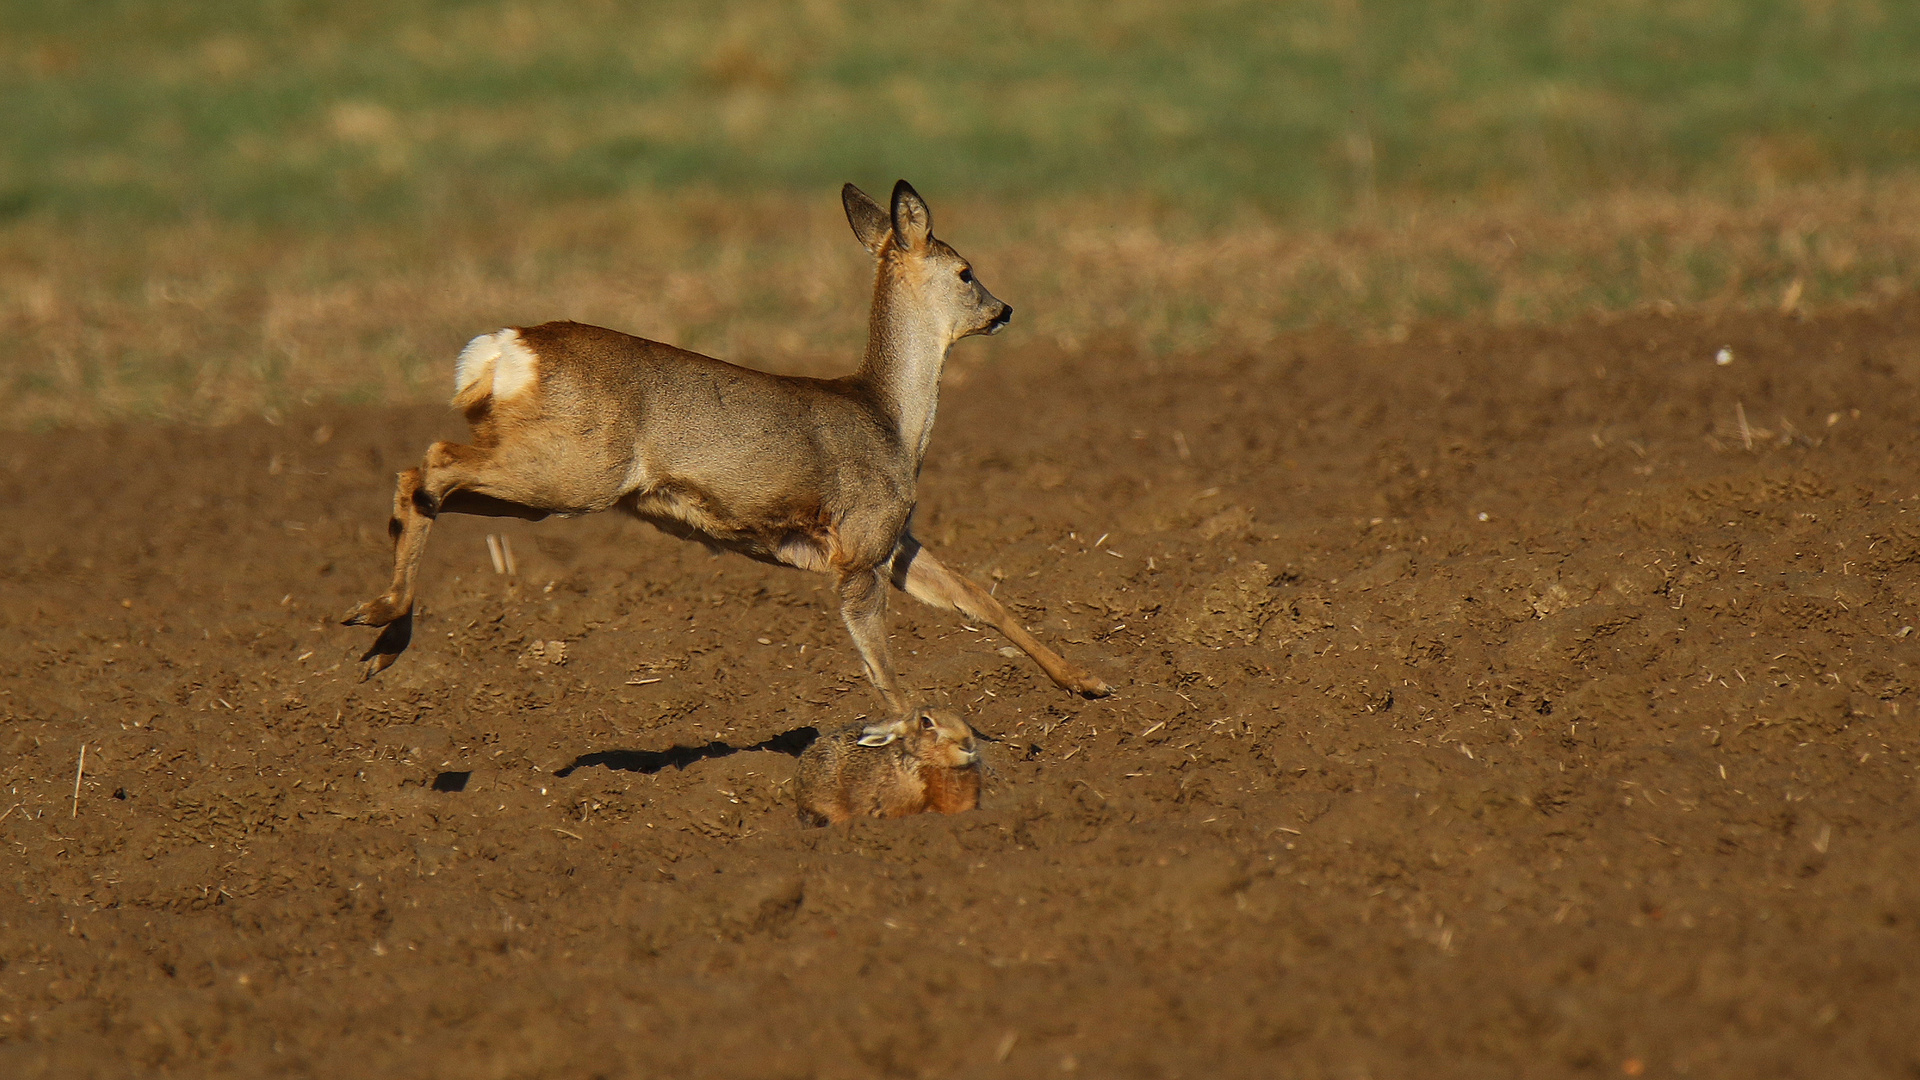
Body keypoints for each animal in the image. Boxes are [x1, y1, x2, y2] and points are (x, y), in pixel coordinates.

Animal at [345, 180, 1113, 711]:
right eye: (965, 271)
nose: (1005, 309)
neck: (892, 418)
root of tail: (507, 349)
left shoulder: (892, 537)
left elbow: (980, 597)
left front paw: (1088, 681)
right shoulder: (860, 546)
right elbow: (886, 670)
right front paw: (924, 738)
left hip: (546, 482)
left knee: (434, 484)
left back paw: (383, 637)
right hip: (573, 468)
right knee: (428, 463)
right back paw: (382, 620)